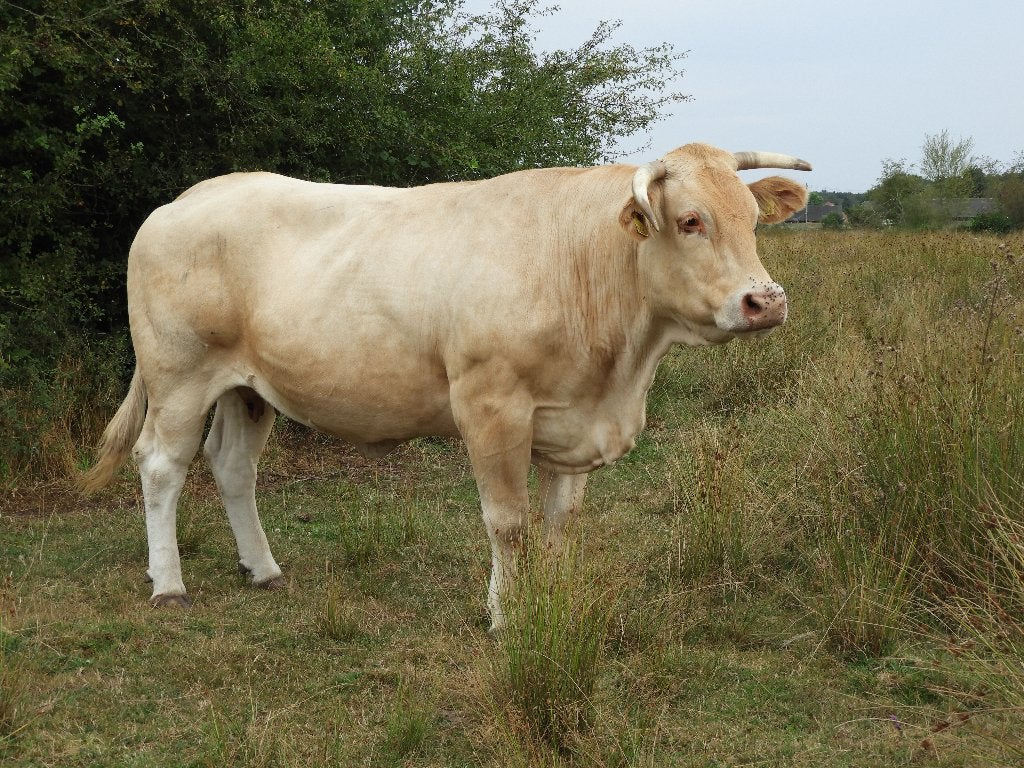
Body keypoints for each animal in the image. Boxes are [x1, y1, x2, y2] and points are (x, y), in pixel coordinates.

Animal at [80, 142, 810, 630]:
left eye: (751, 219)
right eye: (690, 220)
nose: (765, 301)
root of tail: (190, 197)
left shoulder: (572, 419)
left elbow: (560, 522)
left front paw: (555, 602)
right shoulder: (491, 406)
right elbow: (508, 523)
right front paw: (506, 617)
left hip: (248, 385)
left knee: (232, 466)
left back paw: (264, 570)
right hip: (179, 374)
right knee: (161, 465)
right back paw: (168, 584)